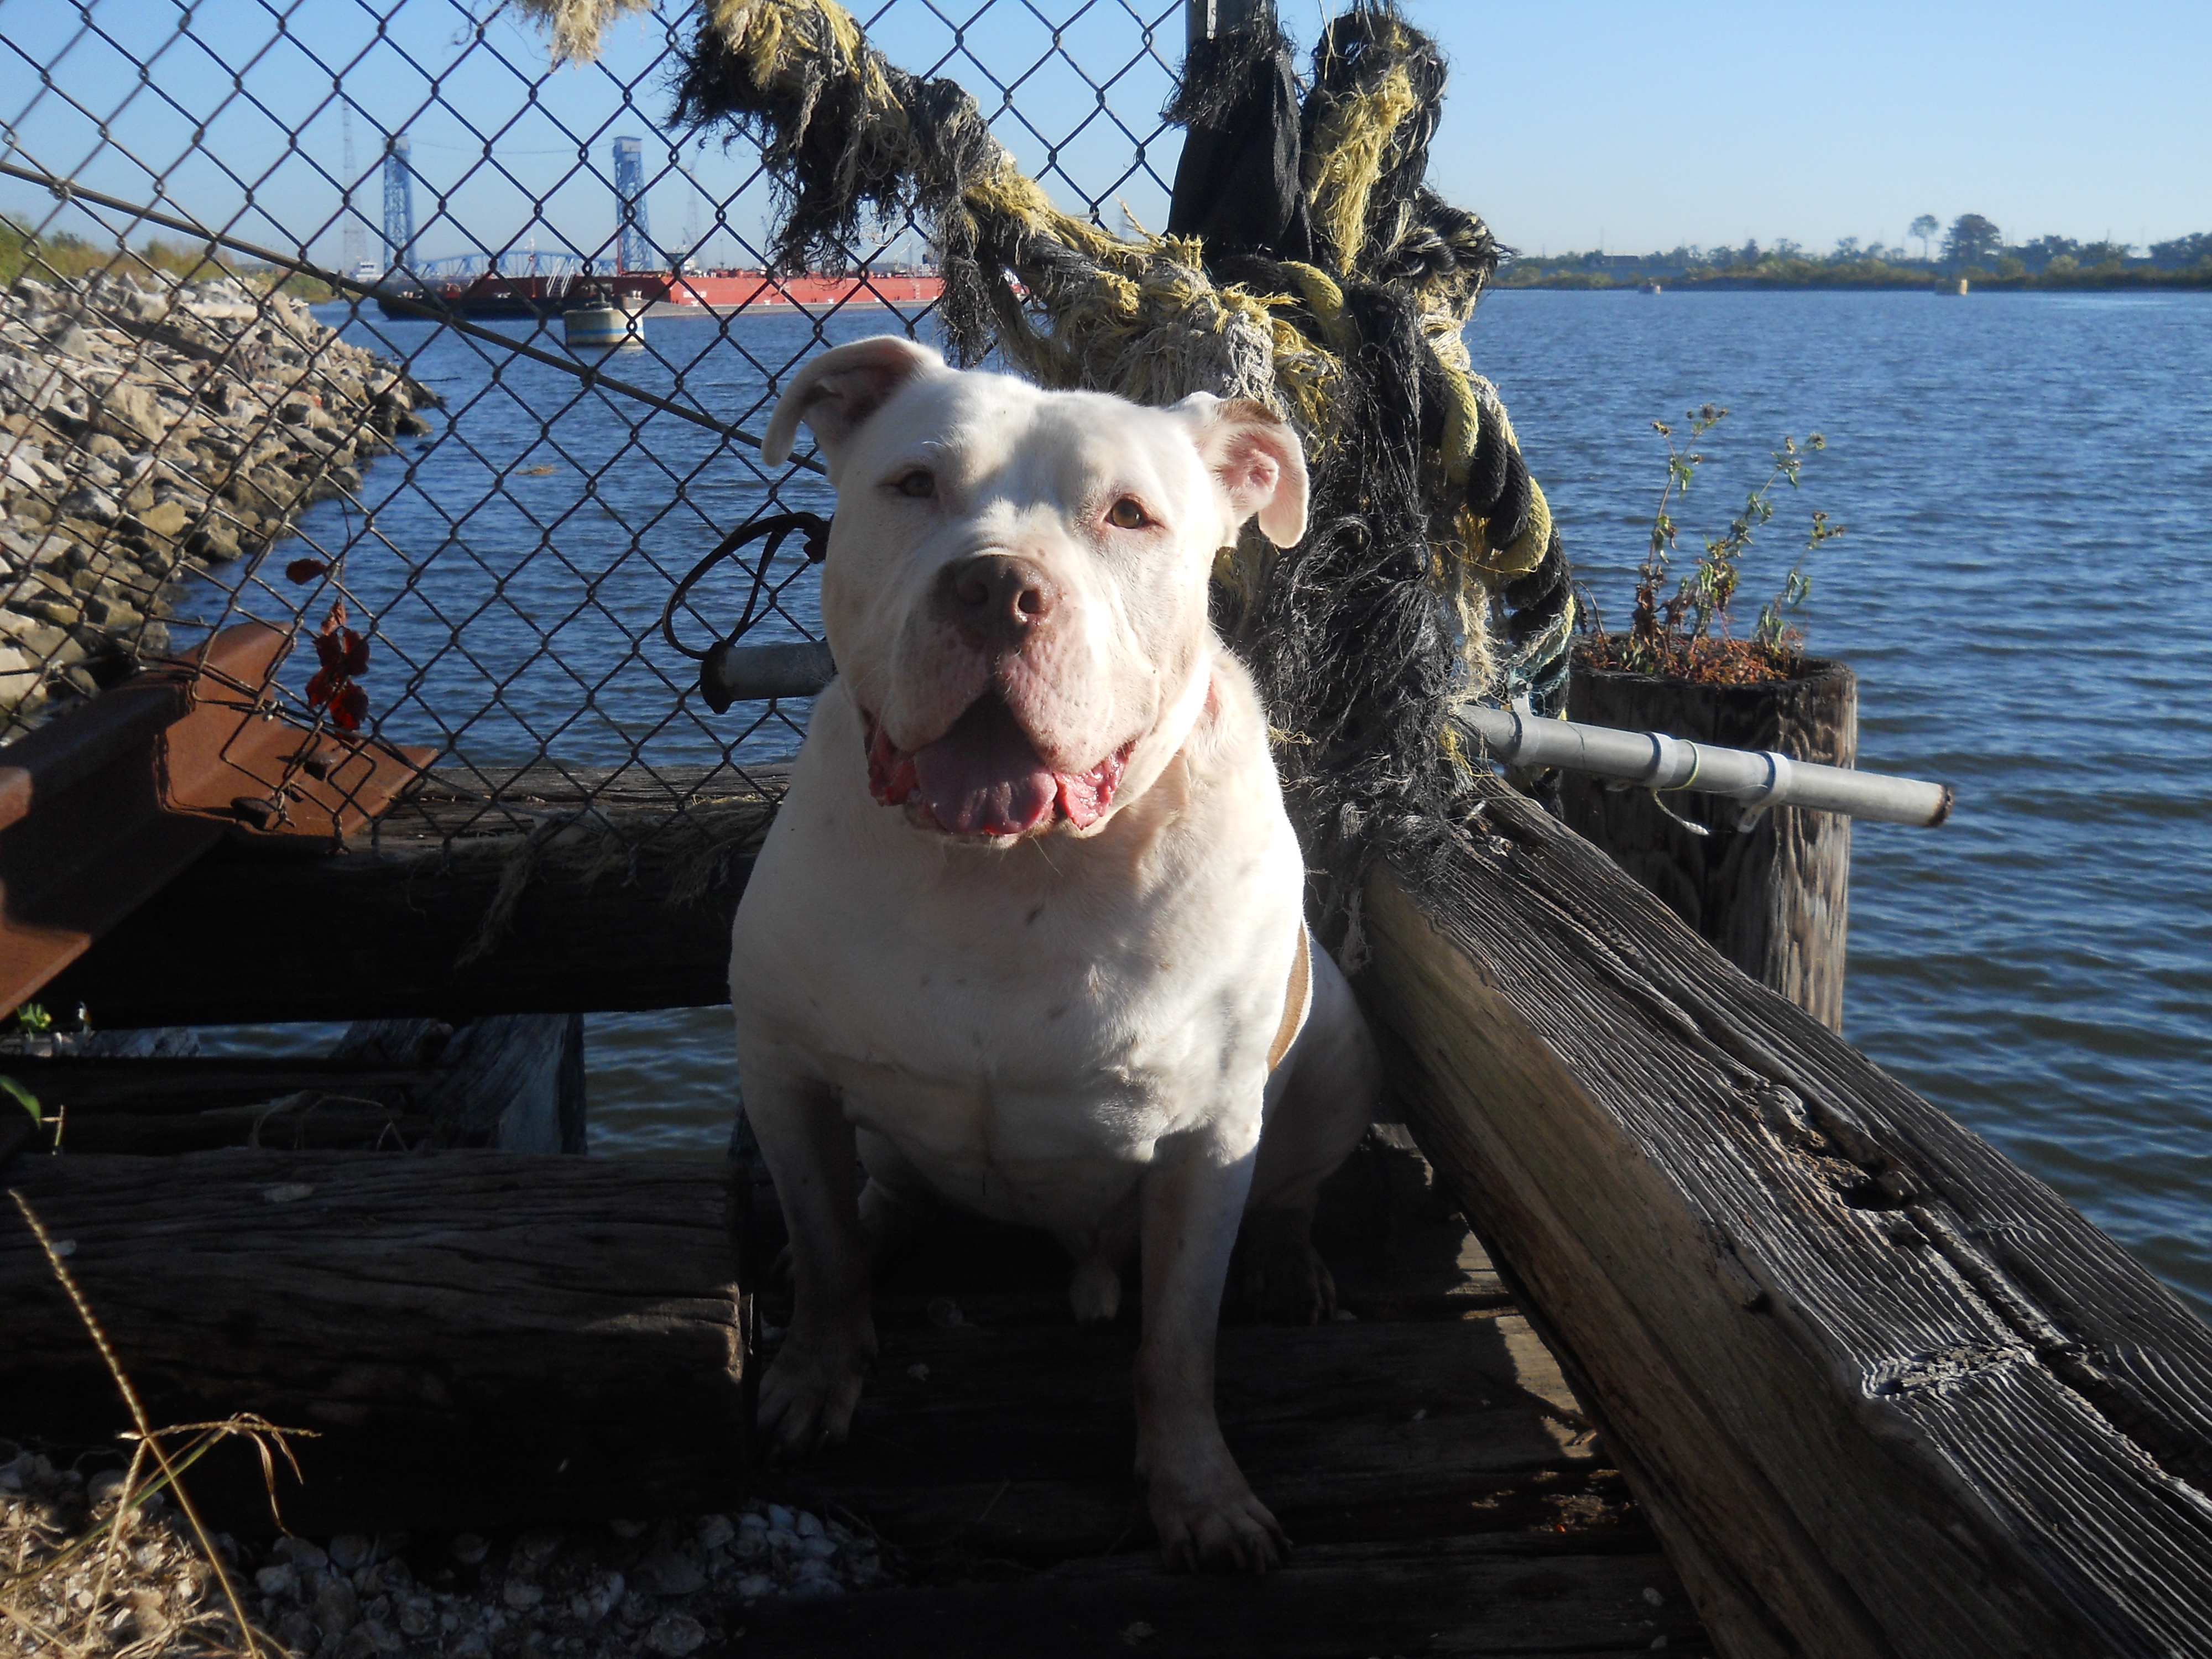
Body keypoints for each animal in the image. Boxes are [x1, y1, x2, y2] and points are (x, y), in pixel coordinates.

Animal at [731, 336, 1380, 1573]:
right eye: (914, 485)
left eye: (1128, 515)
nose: (994, 587)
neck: (1008, 872)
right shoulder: (783, 1074)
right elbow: (827, 1252)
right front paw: (811, 1380)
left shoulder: (1209, 1140)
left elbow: (1177, 1346)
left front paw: (1199, 1494)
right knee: (875, 1194)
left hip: (1335, 1060)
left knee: (1295, 1191)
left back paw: (1287, 1264)